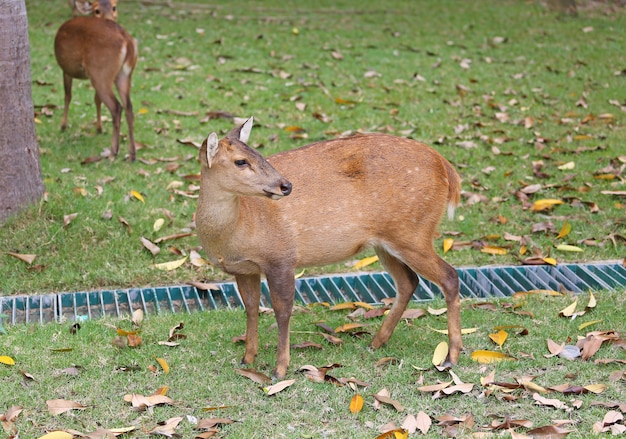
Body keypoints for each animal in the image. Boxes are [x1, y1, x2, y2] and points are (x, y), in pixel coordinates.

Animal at [54, 0, 137, 162]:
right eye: (96, 10)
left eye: (114, 7)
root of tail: (126, 41)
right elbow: (96, 100)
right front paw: (99, 128)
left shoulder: (66, 69)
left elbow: (67, 95)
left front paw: (63, 125)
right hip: (122, 75)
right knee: (129, 107)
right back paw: (132, 154)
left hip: (100, 71)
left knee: (116, 107)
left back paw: (113, 152)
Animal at [196, 117, 464, 378]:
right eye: (241, 161)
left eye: (259, 154)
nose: (286, 185)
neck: (238, 229)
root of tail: (446, 169)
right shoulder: (245, 269)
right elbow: (251, 308)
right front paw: (247, 358)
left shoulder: (281, 257)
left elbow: (282, 310)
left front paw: (279, 369)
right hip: (387, 241)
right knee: (408, 282)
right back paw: (376, 342)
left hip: (413, 233)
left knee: (449, 276)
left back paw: (450, 357)